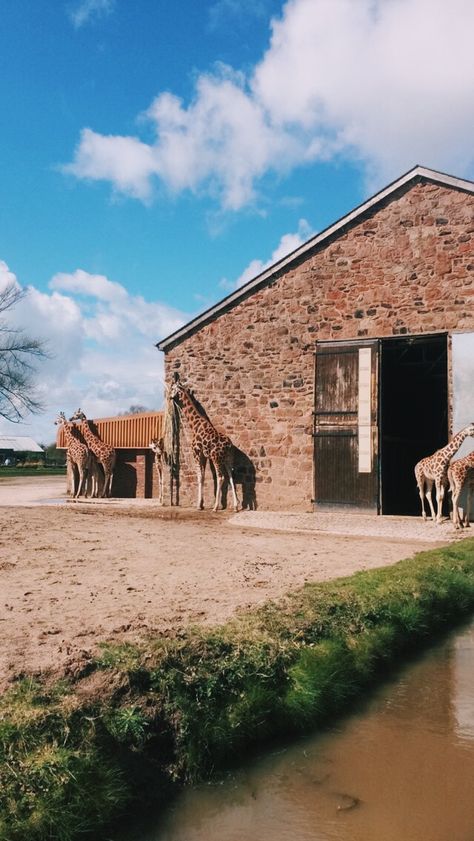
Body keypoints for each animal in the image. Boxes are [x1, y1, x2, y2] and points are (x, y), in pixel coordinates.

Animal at [169, 376, 239, 512]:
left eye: (172, 388)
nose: (169, 397)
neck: (194, 425)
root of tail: (229, 445)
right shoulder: (204, 455)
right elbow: (202, 475)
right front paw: (201, 504)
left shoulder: (196, 452)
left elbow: (199, 476)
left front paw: (198, 505)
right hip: (228, 458)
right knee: (231, 476)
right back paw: (235, 506)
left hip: (216, 458)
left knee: (221, 477)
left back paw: (216, 507)